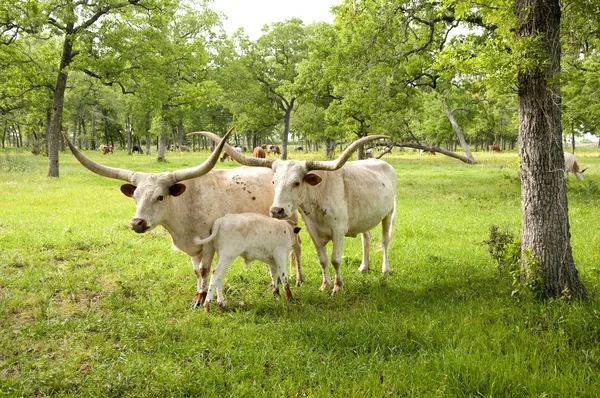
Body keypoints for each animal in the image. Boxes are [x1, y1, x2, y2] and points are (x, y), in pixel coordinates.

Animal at [199, 133, 398, 292]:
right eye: (274, 181)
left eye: (296, 182)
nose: (276, 210)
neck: (319, 194)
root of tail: (382, 163)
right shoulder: (313, 231)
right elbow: (322, 260)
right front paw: (325, 285)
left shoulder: (338, 231)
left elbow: (335, 259)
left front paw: (337, 286)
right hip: (365, 217)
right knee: (367, 238)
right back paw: (364, 267)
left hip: (388, 214)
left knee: (385, 241)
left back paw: (386, 269)